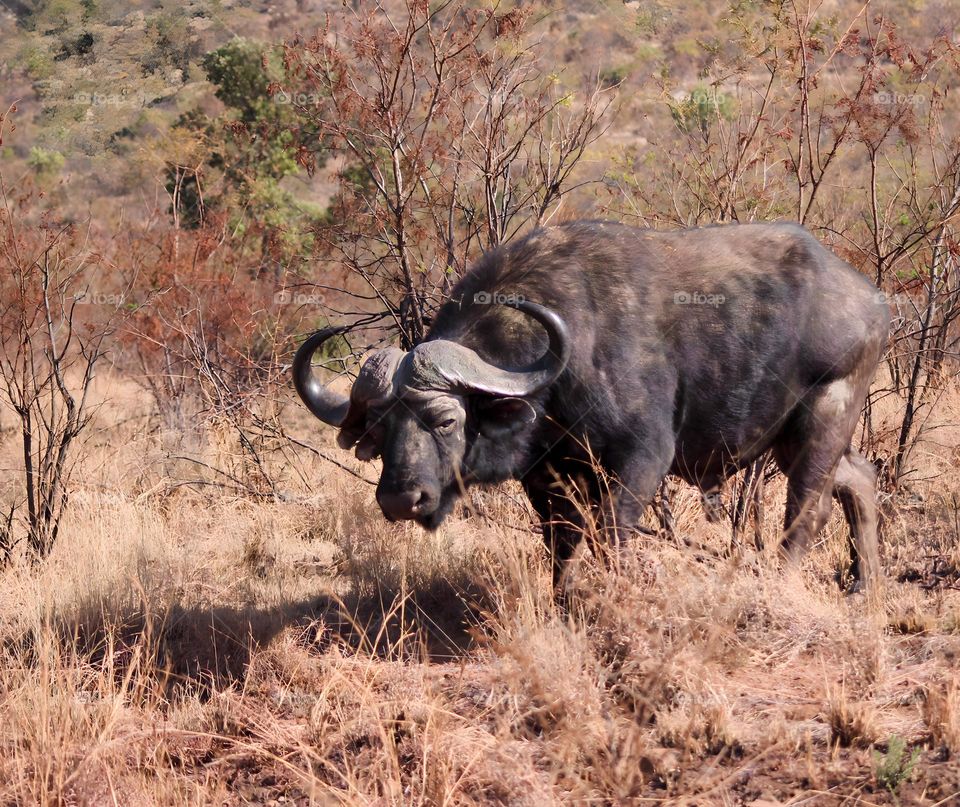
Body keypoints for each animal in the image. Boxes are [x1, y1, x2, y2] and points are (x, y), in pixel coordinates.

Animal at [294, 221, 892, 592]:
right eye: (379, 429)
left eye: (444, 420)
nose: (400, 499)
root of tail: (873, 299)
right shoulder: (546, 478)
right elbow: (560, 546)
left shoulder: (643, 460)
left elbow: (610, 537)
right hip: (794, 437)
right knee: (860, 478)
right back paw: (864, 585)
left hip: (824, 417)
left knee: (808, 508)